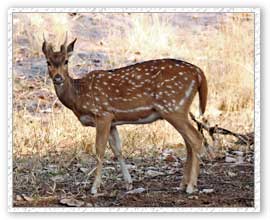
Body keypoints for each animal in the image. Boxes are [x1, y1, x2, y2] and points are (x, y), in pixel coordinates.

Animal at [42, 34, 208, 194]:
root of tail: (199, 73)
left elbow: (99, 150)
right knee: (188, 142)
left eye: (66, 61)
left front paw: (94, 187)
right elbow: (118, 150)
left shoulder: (103, 114)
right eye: (48, 62)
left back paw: (191, 186)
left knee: (196, 138)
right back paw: (182, 184)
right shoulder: (112, 120)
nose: (58, 78)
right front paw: (128, 183)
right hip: (178, 108)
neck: (78, 97)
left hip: (173, 107)